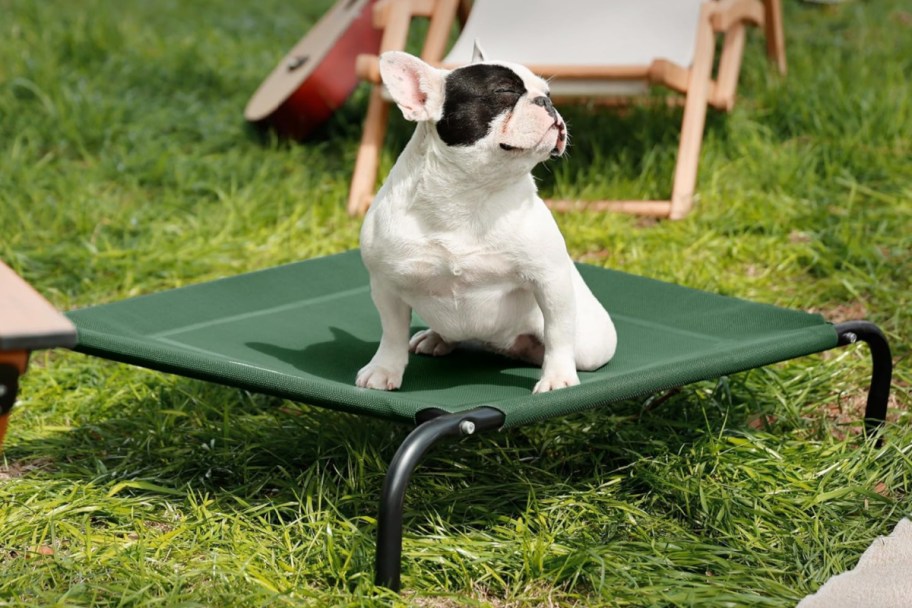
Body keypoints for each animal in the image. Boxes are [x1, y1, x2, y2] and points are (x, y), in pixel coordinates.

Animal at [352, 48, 616, 394]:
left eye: (548, 93)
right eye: (504, 91)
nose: (547, 103)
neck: (471, 192)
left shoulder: (550, 279)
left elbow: (558, 330)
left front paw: (557, 377)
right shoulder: (386, 284)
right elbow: (392, 332)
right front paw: (384, 369)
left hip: (591, 343)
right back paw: (435, 338)